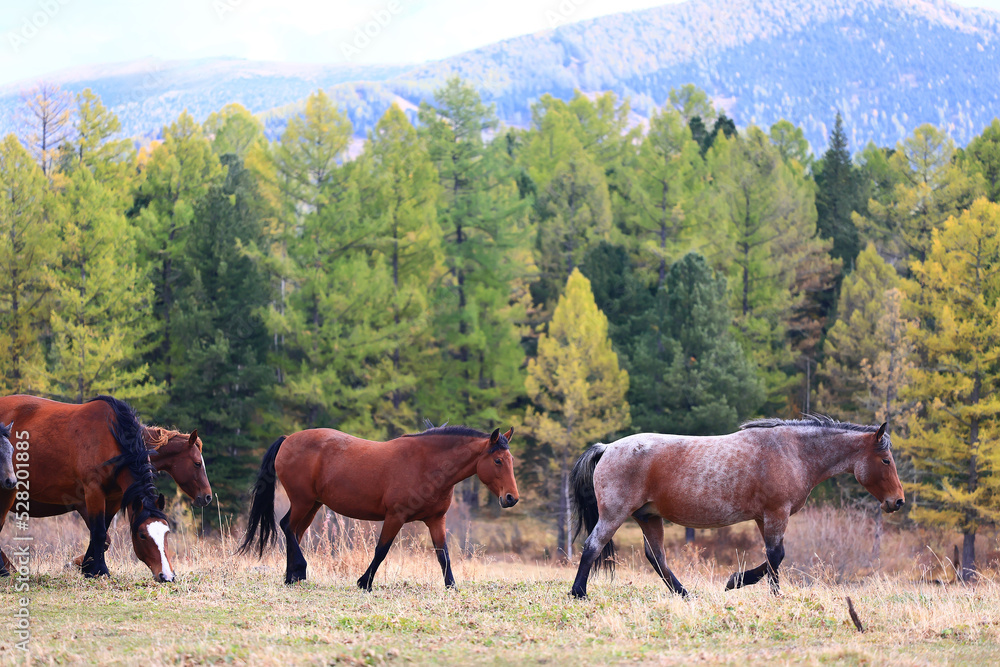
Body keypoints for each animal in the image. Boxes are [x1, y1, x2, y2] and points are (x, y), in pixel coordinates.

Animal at [0, 394, 176, 580]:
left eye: (166, 532)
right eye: (142, 535)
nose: (166, 576)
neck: (112, 438)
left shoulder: (114, 498)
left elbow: (103, 533)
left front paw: (88, 567)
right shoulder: (93, 492)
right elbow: (98, 532)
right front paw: (99, 570)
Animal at [241, 428, 520, 588]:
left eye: (511, 460)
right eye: (497, 460)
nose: (511, 498)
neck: (427, 465)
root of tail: (288, 439)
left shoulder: (436, 520)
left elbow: (443, 555)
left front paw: (451, 586)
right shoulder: (395, 517)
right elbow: (381, 550)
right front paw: (364, 583)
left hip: (313, 504)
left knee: (295, 532)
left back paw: (291, 577)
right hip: (303, 501)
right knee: (287, 527)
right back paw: (298, 570)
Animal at [572, 418, 908, 600]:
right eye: (886, 461)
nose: (898, 501)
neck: (794, 451)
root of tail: (607, 448)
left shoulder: (764, 517)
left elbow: (773, 556)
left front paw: (746, 584)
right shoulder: (776, 514)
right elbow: (776, 555)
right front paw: (755, 587)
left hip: (649, 517)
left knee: (657, 558)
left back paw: (685, 595)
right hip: (615, 515)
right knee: (593, 546)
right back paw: (579, 593)